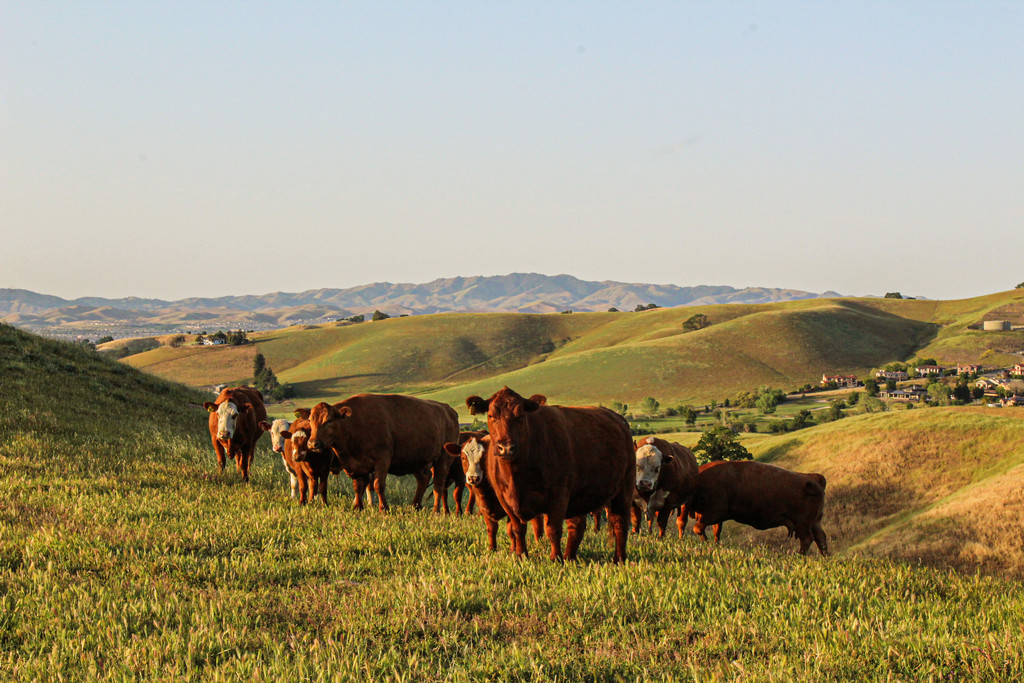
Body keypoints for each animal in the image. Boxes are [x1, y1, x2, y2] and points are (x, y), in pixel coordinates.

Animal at [305, 393, 458, 509]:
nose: (313, 443)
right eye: (310, 419)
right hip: (417, 461)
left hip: (443, 460)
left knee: (438, 486)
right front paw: (357, 507)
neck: (354, 424)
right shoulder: (355, 466)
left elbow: (378, 485)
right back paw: (415, 506)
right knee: (424, 480)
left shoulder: (382, 460)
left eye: (329, 420)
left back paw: (436, 511)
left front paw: (383, 508)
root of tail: (448, 410)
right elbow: (357, 486)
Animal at [466, 387, 638, 565]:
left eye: (520, 416)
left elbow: (553, 530)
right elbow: (518, 529)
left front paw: (556, 558)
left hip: (623, 489)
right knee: (576, 526)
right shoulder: (505, 500)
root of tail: (619, 419)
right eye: (491, 416)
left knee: (619, 523)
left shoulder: (558, 497)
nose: (505, 448)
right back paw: (570, 556)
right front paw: (521, 555)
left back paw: (619, 559)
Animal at [679, 458, 831, 557]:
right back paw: (825, 558)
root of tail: (813, 478)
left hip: (803, 523)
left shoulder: (713, 513)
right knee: (820, 538)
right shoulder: (717, 518)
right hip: (814, 522)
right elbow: (716, 532)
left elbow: (698, 528)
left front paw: (707, 543)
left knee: (807, 539)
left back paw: (798, 556)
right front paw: (715, 545)